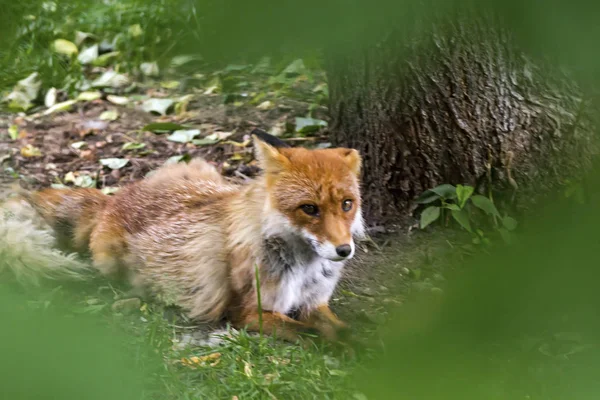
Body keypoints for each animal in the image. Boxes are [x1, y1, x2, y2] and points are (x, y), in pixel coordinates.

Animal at [0, 136, 364, 342]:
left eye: (347, 204)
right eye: (309, 208)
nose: (344, 250)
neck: (303, 269)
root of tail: (114, 199)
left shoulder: (314, 302)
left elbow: (341, 328)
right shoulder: (248, 313)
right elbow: (312, 333)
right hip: (112, 262)